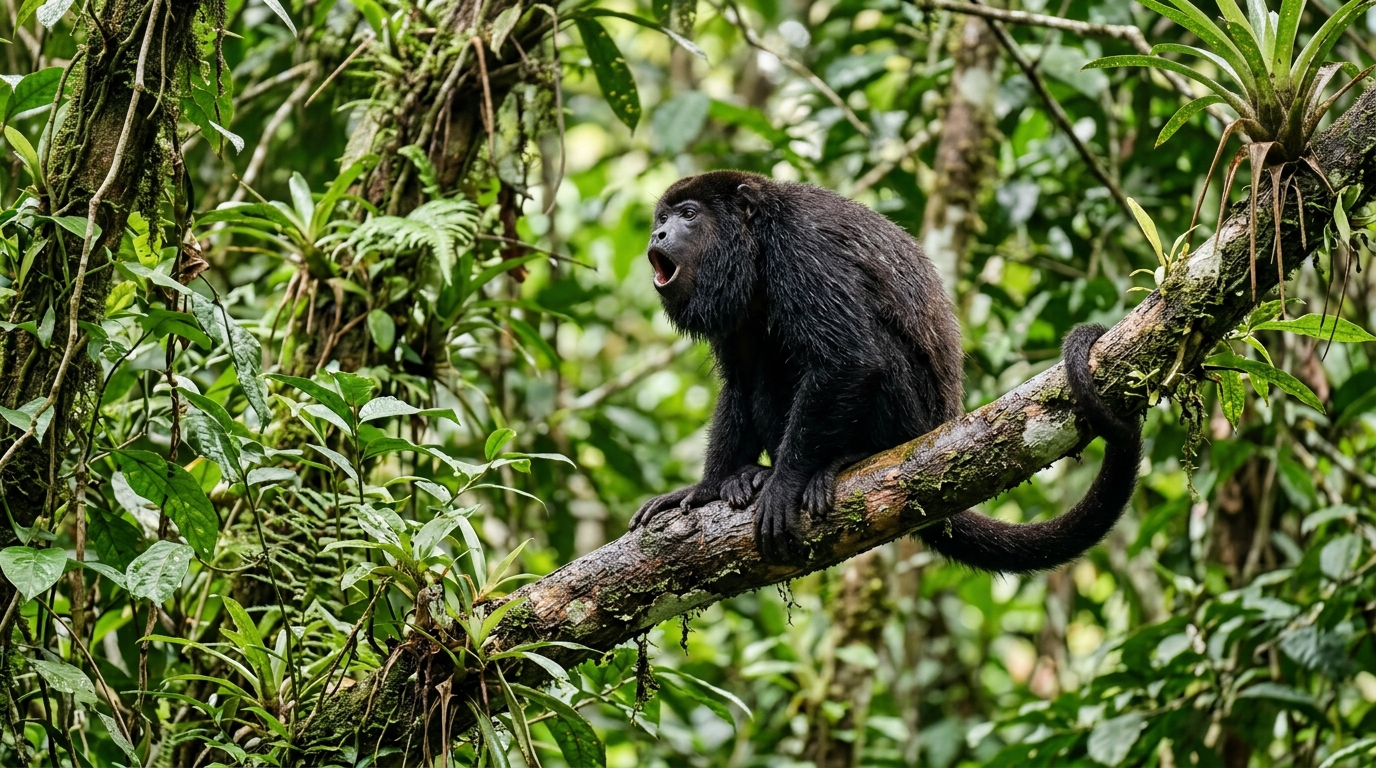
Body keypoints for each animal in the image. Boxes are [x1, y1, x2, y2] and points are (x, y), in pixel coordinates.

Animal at [626, 170, 1142, 571]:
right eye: (662, 218)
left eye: (688, 214)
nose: (657, 236)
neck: (755, 244)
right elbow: (738, 380)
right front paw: (706, 489)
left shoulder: (801, 247)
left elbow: (848, 357)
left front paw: (784, 483)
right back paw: (746, 477)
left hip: (911, 418)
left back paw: (848, 457)